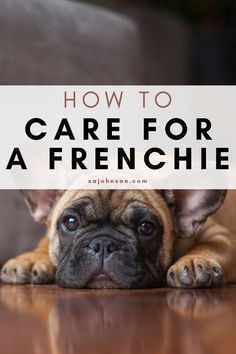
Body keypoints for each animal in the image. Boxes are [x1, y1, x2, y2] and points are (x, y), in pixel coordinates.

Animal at [2, 189, 236, 290]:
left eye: (146, 227)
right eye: (70, 222)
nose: (103, 244)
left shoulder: (220, 236)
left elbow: (210, 245)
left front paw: (195, 262)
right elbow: (44, 243)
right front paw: (30, 260)